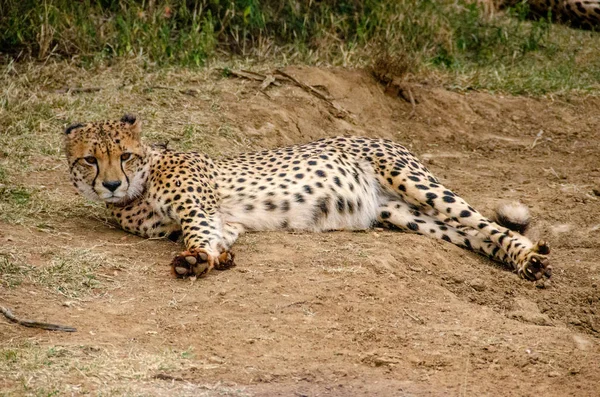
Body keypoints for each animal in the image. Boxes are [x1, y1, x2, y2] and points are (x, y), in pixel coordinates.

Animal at [65, 115, 552, 282]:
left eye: (123, 155)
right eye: (90, 160)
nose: (111, 185)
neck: (140, 186)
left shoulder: (198, 209)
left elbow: (198, 231)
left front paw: (196, 258)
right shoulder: (225, 222)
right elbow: (218, 237)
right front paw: (210, 259)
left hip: (414, 182)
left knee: (484, 221)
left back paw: (530, 256)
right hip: (404, 214)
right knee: (472, 234)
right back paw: (522, 261)